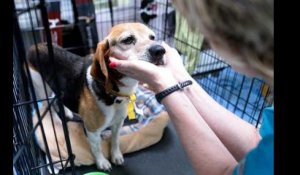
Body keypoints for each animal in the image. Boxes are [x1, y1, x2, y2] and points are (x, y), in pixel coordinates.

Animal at [27, 22, 166, 170]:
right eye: (128, 40)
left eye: (152, 37)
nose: (160, 50)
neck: (114, 96)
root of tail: (35, 46)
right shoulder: (92, 131)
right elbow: (97, 148)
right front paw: (101, 162)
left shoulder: (118, 124)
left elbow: (115, 140)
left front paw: (116, 155)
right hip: (40, 88)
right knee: (48, 105)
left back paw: (67, 112)